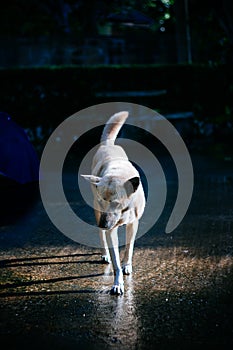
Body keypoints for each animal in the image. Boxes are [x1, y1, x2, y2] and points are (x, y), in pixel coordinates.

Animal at [81, 110, 145, 294]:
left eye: (116, 203)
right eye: (102, 200)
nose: (103, 224)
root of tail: (108, 144)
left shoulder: (133, 224)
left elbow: (129, 248)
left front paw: (127, 265)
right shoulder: (110, 228)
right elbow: (115, 260)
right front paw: (117, 283)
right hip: (96, 212)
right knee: (101, 237)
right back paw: (105, 253)